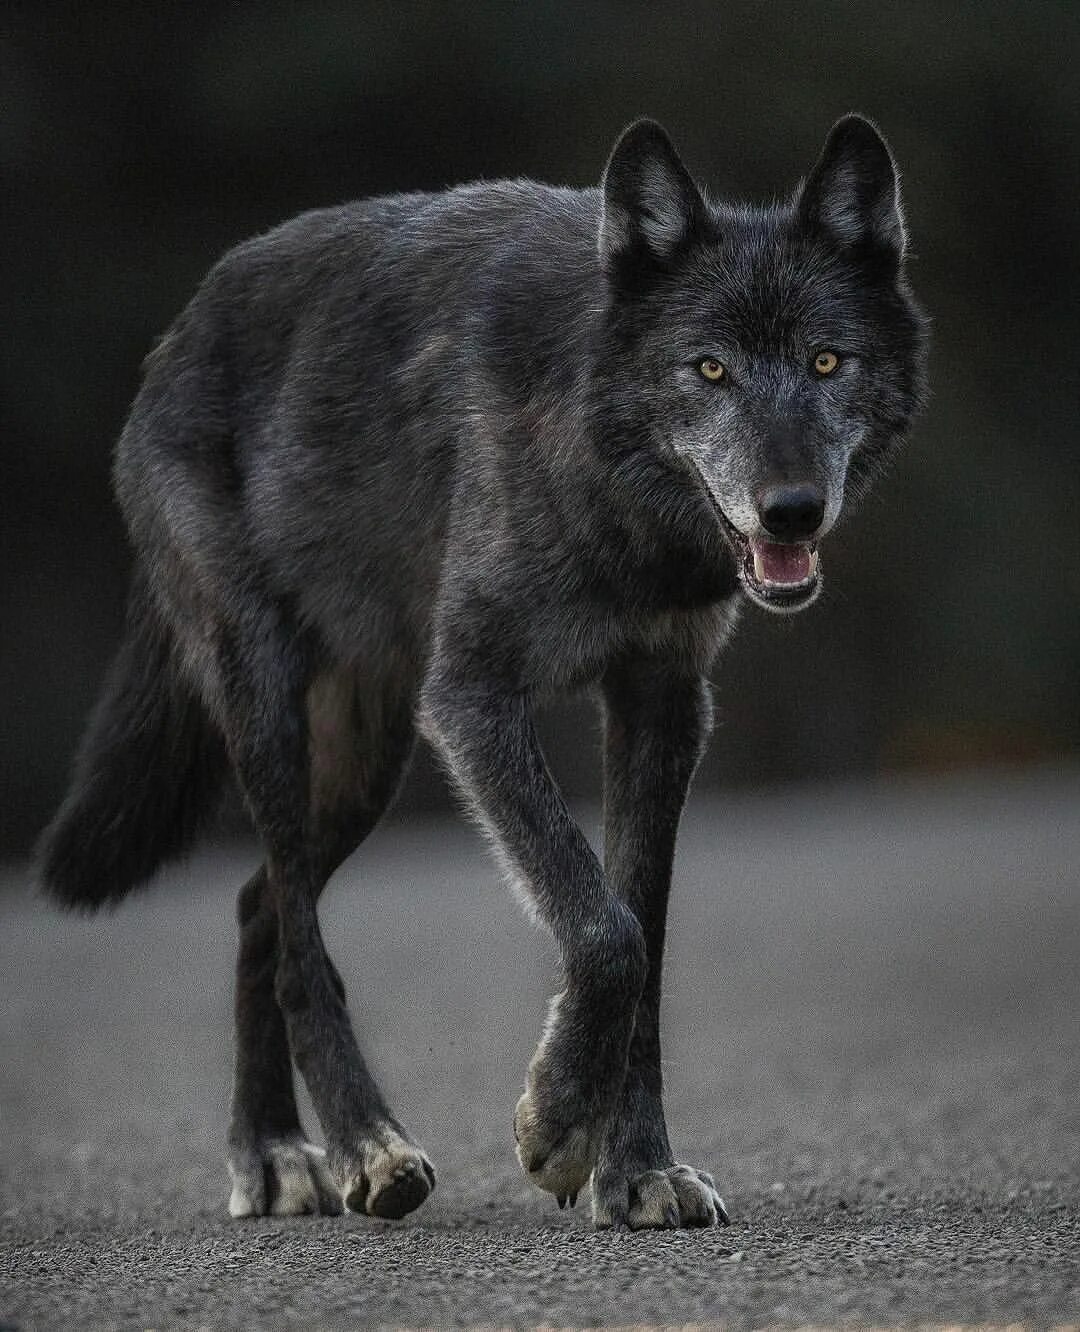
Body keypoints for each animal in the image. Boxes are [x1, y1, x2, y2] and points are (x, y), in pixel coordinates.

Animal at [42, 114, 926, 1225]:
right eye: (710, 370)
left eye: (826, 360)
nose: (793, 510)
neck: (609, 488)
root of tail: (177, 333)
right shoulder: (472, 696)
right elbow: (603, 929)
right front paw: (556, 1126)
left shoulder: (662, 701)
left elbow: (644, 933)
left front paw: (637, 1169)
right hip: (272, 709)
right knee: (295, 941)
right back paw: (360, 1147)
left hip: (365, 761)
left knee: (257, 911)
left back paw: (275, 1152)